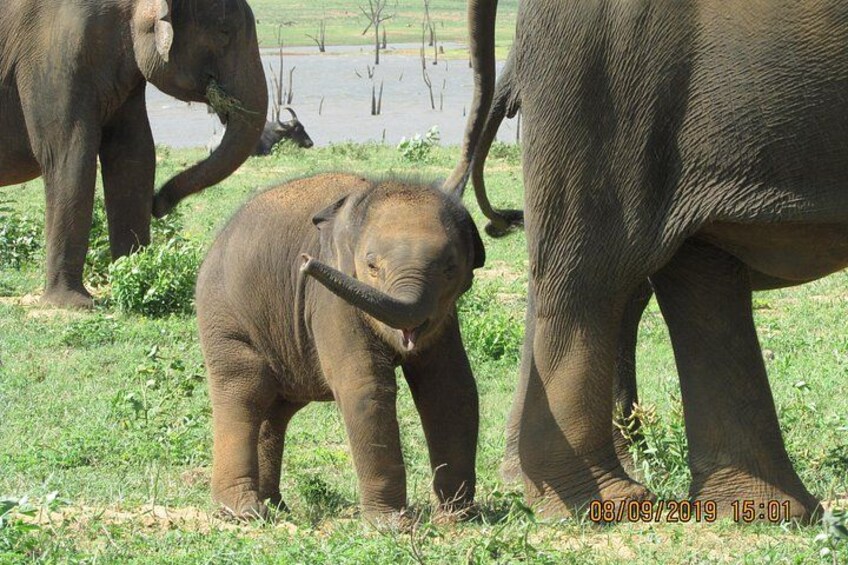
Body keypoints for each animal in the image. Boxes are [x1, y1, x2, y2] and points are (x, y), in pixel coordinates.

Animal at [0, 0, 267, 308]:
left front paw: (135, 273)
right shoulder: (54, 52)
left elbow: (134, 154)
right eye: (224, 33)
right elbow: (68, 155)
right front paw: (72, 304)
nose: (159, 204)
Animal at [195, 173, 485, 522]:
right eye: (372, 266)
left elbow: (449, 388)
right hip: (225, 316)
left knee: (276, 410)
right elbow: (364, 386)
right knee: (243, 390)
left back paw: (276, 505)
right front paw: (391, 524)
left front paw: (456, 517)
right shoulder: (331, 299)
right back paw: (245, 511)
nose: (306, 263)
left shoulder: (444, 317)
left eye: (449, 269)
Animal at [449, 0, 848, 522]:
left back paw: (766, 511)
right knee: (592, 266)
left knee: (688, 263)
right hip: (611, 61)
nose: (501, 223)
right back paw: (605, 502)